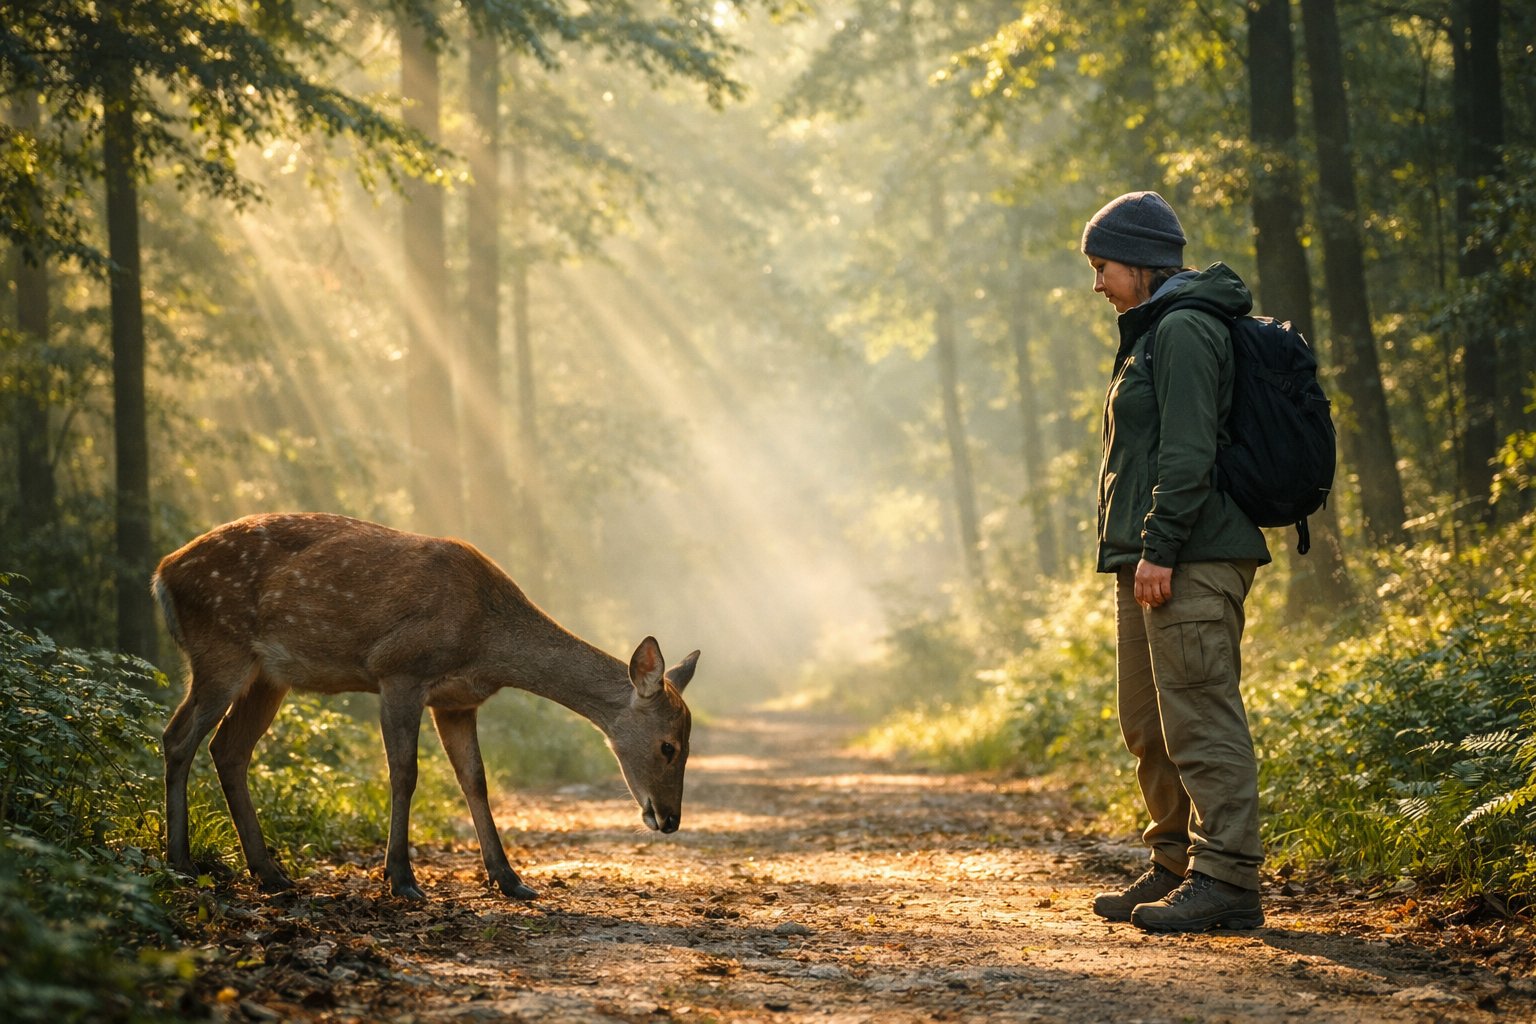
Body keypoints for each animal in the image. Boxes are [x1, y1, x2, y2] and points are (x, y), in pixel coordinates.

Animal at [152, 512, 698, 901]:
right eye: (669, 746)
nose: (670, 819)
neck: (486, 642)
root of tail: (162, 574)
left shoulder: (456, 702)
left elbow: (475, 780)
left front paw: (510, 879)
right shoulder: (399, 670)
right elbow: (404, 772)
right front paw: (400, 878)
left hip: (269, 675)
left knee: (228, 748)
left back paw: (270, 873)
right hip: (219, 646)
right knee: (178, 736)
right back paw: (181, 863)